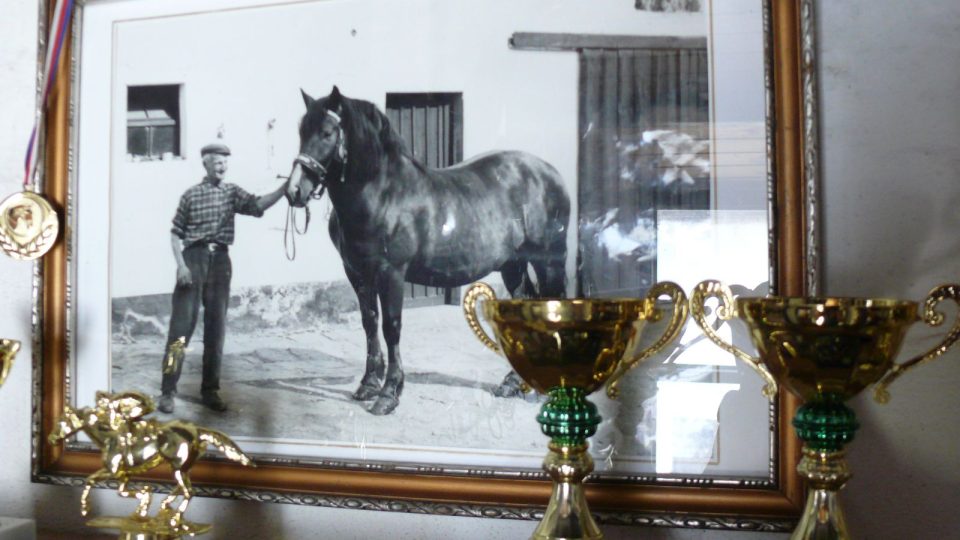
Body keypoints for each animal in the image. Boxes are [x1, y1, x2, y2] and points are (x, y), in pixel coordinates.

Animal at [284, 87, 568, 418]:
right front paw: (368, 385)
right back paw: (513, 383)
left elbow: (391, 326)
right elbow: (369, 323)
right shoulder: (356, 272)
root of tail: (549, 172)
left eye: (328, 133)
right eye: (301, 131)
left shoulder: (391, 273)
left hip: (548, 260)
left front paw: (389, 394)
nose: (294, 191)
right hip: (513, 264)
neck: (383, 194)